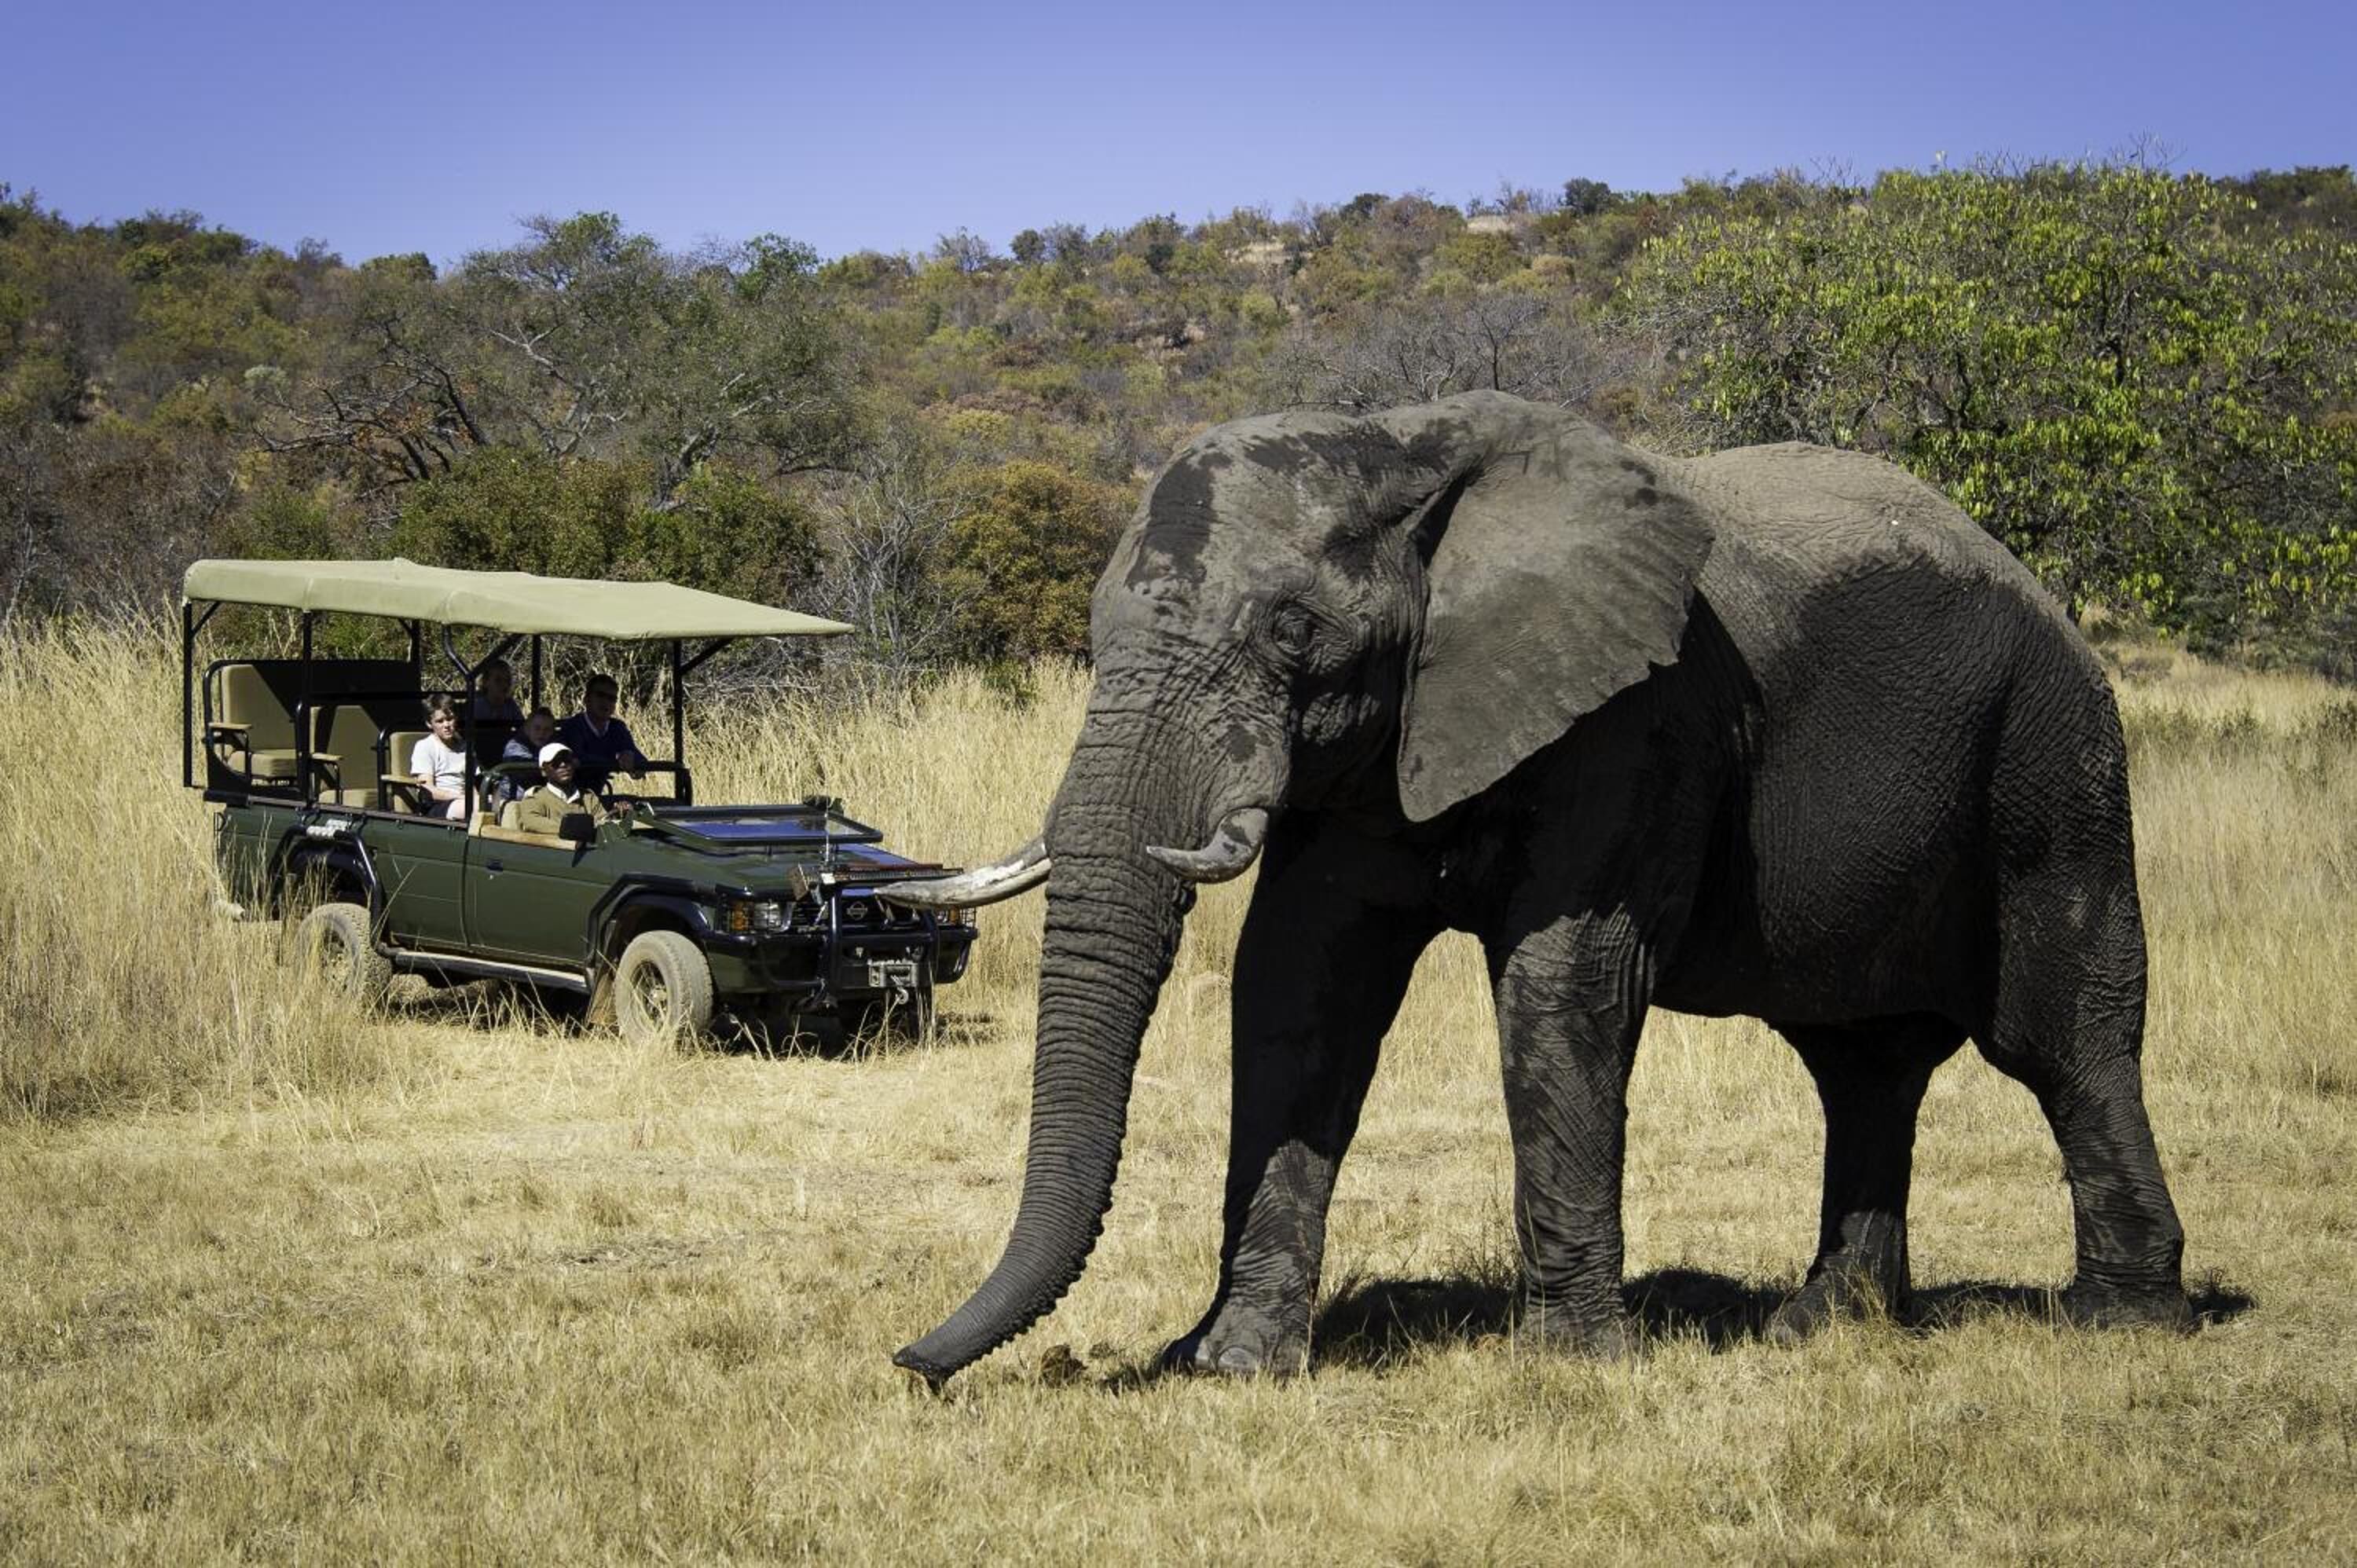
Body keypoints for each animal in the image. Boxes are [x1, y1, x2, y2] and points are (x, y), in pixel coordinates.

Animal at [888, 390, 2192, 1388]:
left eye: (1292, 628)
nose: (911, 1366)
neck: (1398, 450)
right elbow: (1301, 986)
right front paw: (1233, 1366)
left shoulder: (1638, 718)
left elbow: (1566, 983)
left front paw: (1571, 1364)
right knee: (1862, 1066)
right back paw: (1821, 1329)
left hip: (2053, 759)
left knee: (2061, 1038)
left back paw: (2124, 1321)